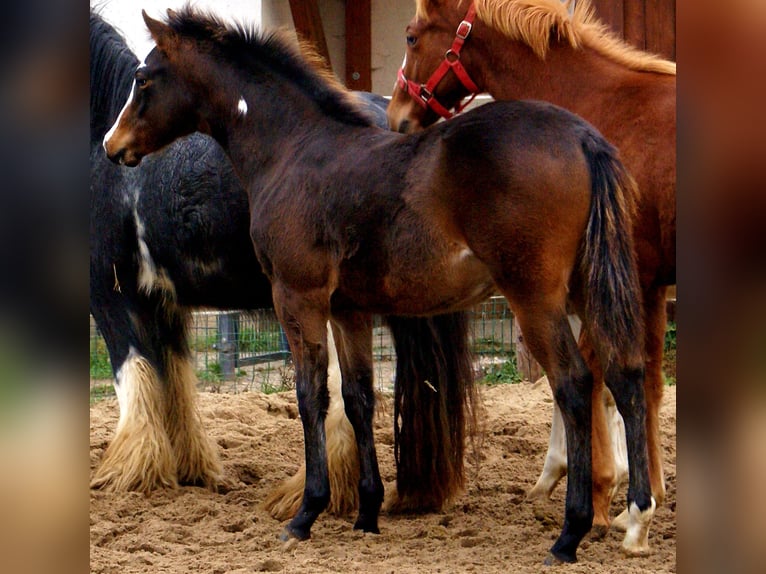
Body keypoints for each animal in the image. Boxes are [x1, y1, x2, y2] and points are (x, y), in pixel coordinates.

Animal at [90, 9, 476, 519]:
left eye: (142, 78)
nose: (112, 145)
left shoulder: (113, 296)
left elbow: (132, 378)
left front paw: (128, 472)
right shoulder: (163, 303)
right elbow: (172, 383)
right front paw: (187, 468)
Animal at [387, 0, 676, 536]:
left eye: (412, 37)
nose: (397, 115)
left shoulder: (615, 282)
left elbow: (597, 374)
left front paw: (603, 496)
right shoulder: (644, 286)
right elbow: (643, 382)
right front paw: (645, 494)